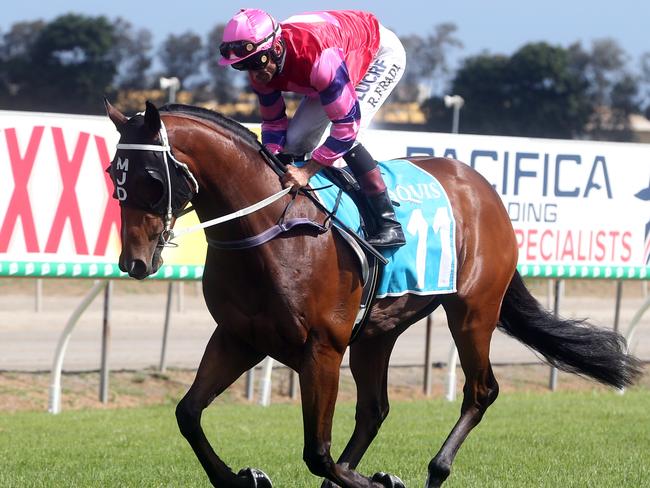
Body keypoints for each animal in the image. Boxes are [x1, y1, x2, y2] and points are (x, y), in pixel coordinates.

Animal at [104, 100, 640, 488]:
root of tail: (483, 187)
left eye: (151, 178)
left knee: (480, 390)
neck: (269, 229)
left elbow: (317, 454)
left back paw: (434, 470)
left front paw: (381, 482)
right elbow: (188, 414)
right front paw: (242, 478)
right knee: (375, 409)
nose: (133, 262)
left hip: (472, 310)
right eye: (114, 175)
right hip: (377, 332)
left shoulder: (320, 349)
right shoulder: (240, 338)